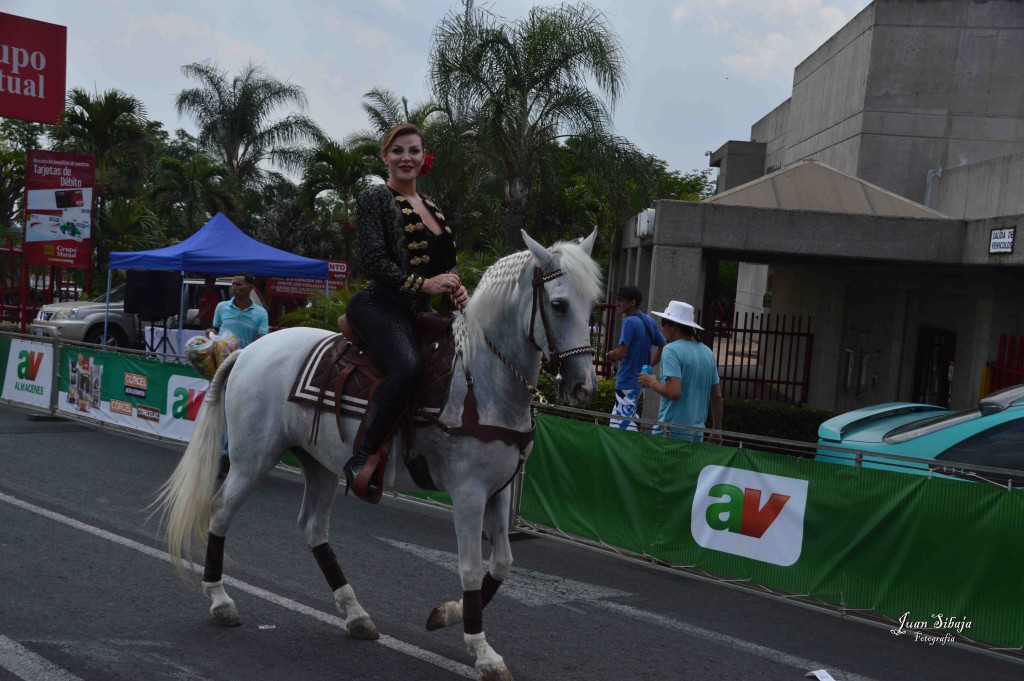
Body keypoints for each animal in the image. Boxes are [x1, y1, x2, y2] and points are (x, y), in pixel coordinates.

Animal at [151, 229, 598, 679]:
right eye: (559, 304)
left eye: (593, 303)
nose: (584, 387)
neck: (481, 382)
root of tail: (249, 350)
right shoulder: (469, 493)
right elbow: (472, 566)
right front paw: (482, 650)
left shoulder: (500, 490)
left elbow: (502, 562)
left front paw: (448, 614)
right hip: (252, 460)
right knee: (220, 512)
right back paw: (221, 601)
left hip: (319, 464)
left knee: (313, 528)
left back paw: (356, 614)